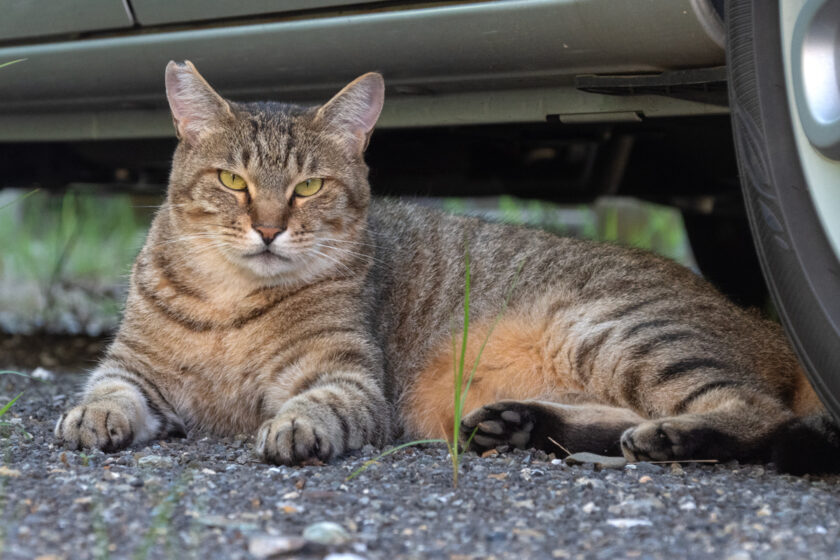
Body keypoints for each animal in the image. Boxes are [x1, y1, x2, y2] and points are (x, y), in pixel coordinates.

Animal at [55, 60, 836, 472]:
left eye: (308, 188)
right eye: (231, 181)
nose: (269, 228)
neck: (231, 303)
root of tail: (760, 321)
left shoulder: (351, 380)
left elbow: (318, 404)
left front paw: (295, 428)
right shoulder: (132, 366)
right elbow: (107, 388)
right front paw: (93, 415)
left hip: (619, 331)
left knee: (756, 415)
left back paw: (672, 436)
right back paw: (522, 424)